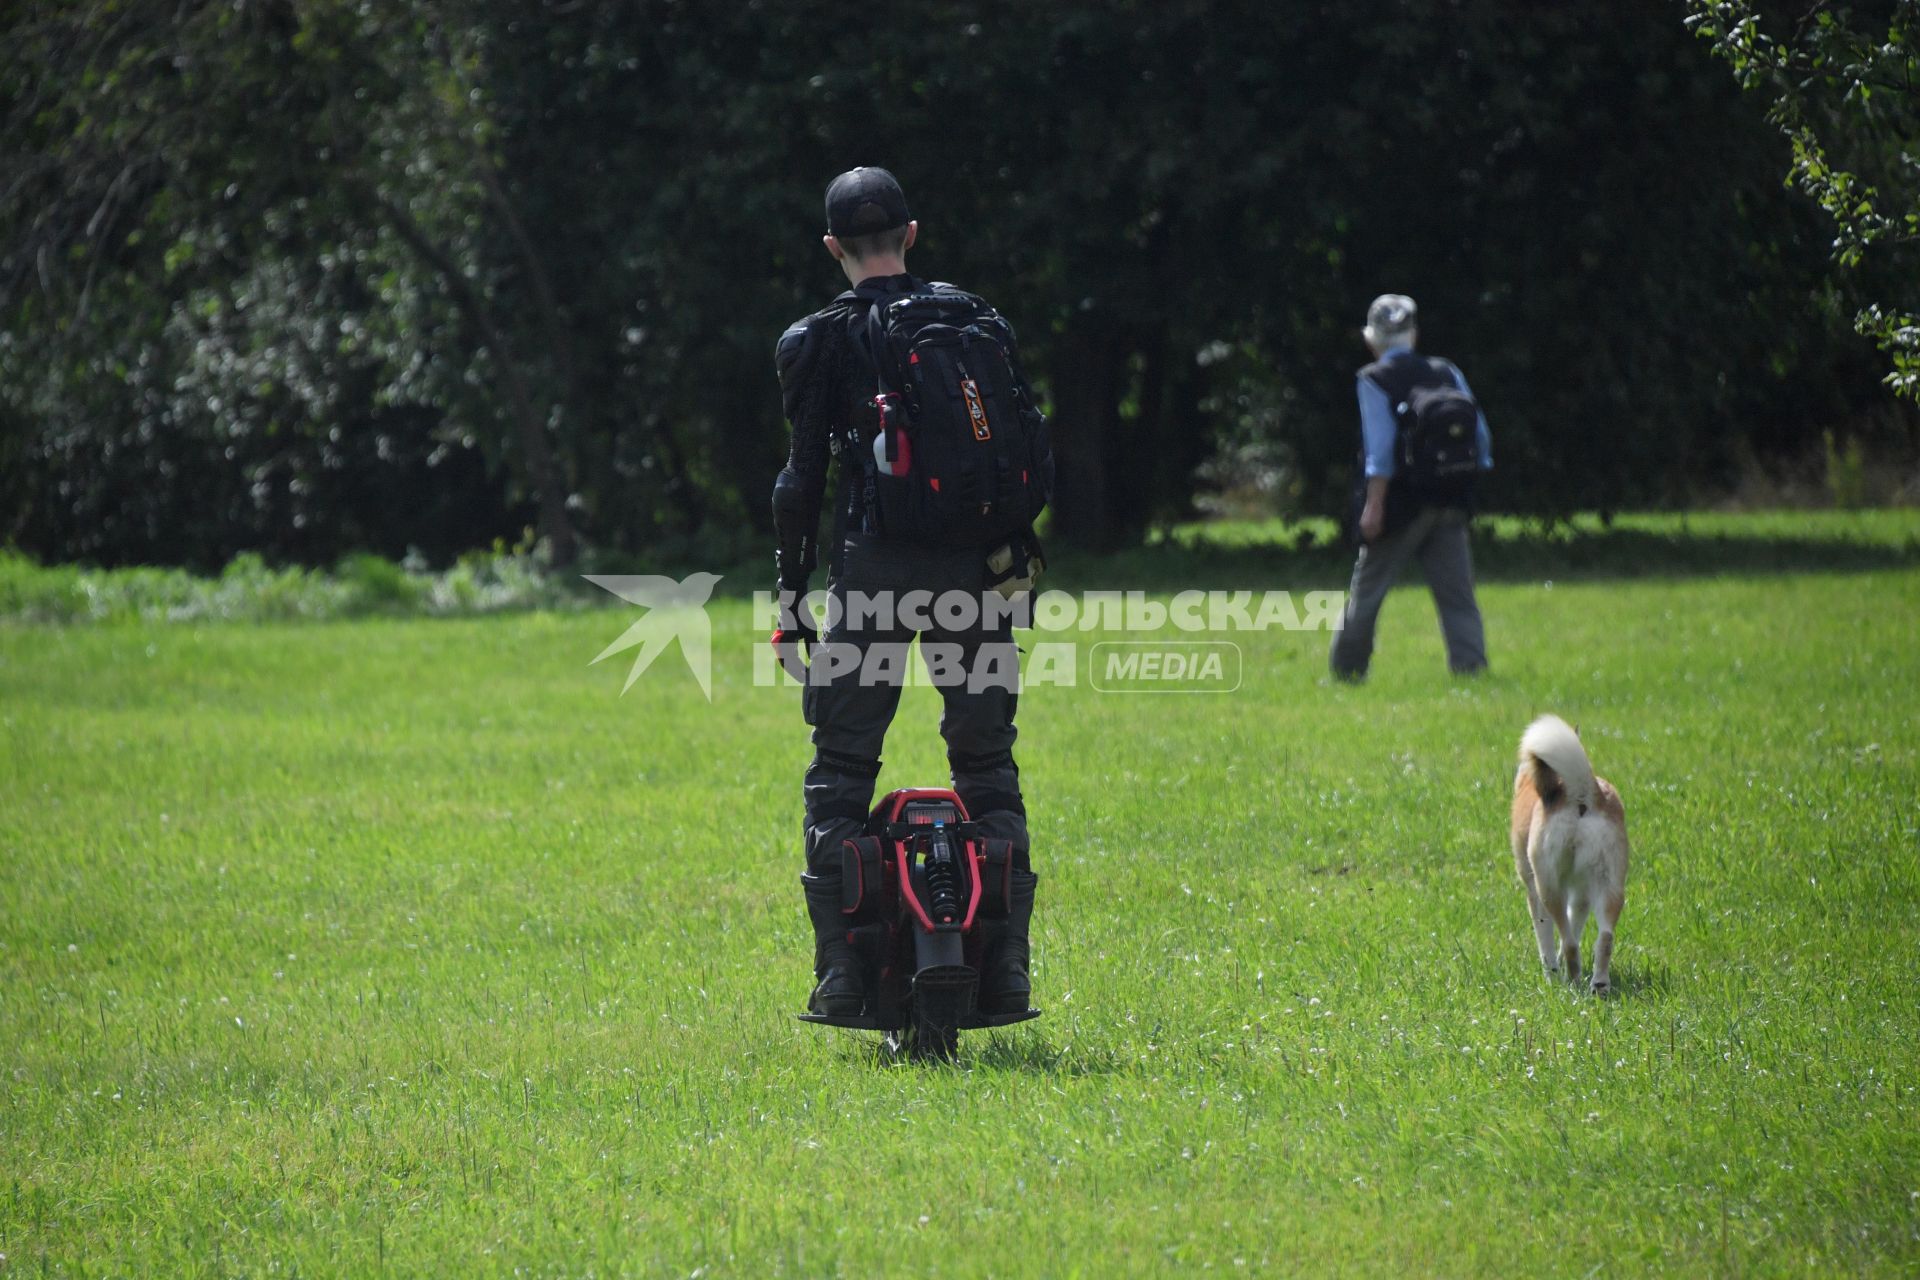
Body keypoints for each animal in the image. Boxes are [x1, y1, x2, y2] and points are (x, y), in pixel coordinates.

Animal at [1505, 717, 1628, 997]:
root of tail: (1580, 791)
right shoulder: (1582, 895)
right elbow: (1576, 923)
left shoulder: (1534, 891)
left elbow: (1546, 941)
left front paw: (1551, 976)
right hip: (1611, 885)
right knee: (1604, 938)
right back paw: (1599, 985)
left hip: (1549, 888)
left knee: (1570, 942)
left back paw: (1572, 982)